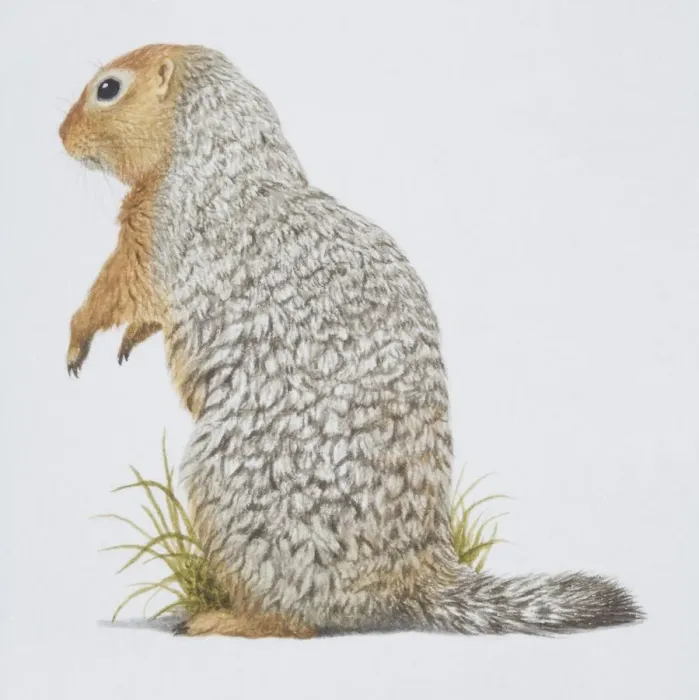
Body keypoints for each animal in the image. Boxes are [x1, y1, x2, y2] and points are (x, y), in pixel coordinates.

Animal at [59, 44, 643, 638]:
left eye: (108, 88)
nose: (60, 134)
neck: (218, 157)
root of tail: (415, 574)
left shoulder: (157, 229)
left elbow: (119, 289)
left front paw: (78, 339)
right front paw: (122, 342)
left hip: (227, 493)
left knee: (296, 621)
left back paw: (221, 617)